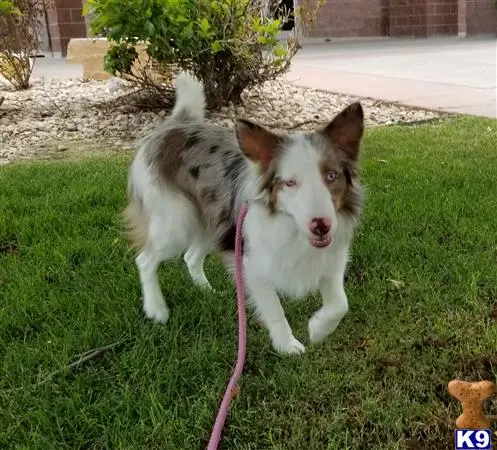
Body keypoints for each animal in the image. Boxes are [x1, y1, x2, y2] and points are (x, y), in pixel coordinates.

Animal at [124, 73, 364, 356]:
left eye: (331, 176)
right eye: (289, 183)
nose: (321, 226)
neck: (290, 227)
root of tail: (177, 124)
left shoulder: (332, 258)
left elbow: (340, 304)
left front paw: (318, 329)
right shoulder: (252, 265)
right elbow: (274, 308)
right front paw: (287, 345)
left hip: (214, 223)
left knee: (190, 256)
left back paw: (207, 291)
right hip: (176, 223)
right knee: (145, 259)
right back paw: (157, 309)